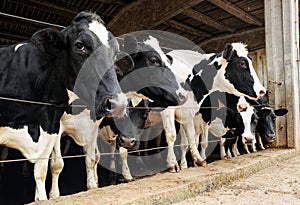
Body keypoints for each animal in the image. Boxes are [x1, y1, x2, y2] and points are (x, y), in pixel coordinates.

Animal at [0, 10, 127, 200]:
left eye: (116, 52)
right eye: (80, 45)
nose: (118, 103)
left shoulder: (53, 127)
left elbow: (43, 170)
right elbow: (57, 164)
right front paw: (54, 195)